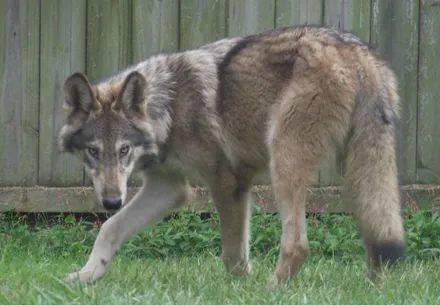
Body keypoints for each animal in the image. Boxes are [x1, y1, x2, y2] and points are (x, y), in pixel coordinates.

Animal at [59, 26, 406, 284]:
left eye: (124, 150)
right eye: (93, 152)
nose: (111, 201)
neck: (170, 108)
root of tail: (358, 52)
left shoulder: (227, 182)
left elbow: (232, 253)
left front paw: (241, 287)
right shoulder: (169, 187)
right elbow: (110, 229)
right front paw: (86, 276)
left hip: (284, 163)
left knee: (298, 244)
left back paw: (271, 289)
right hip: (360, 172)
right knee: (379, 234)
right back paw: (373, 286)